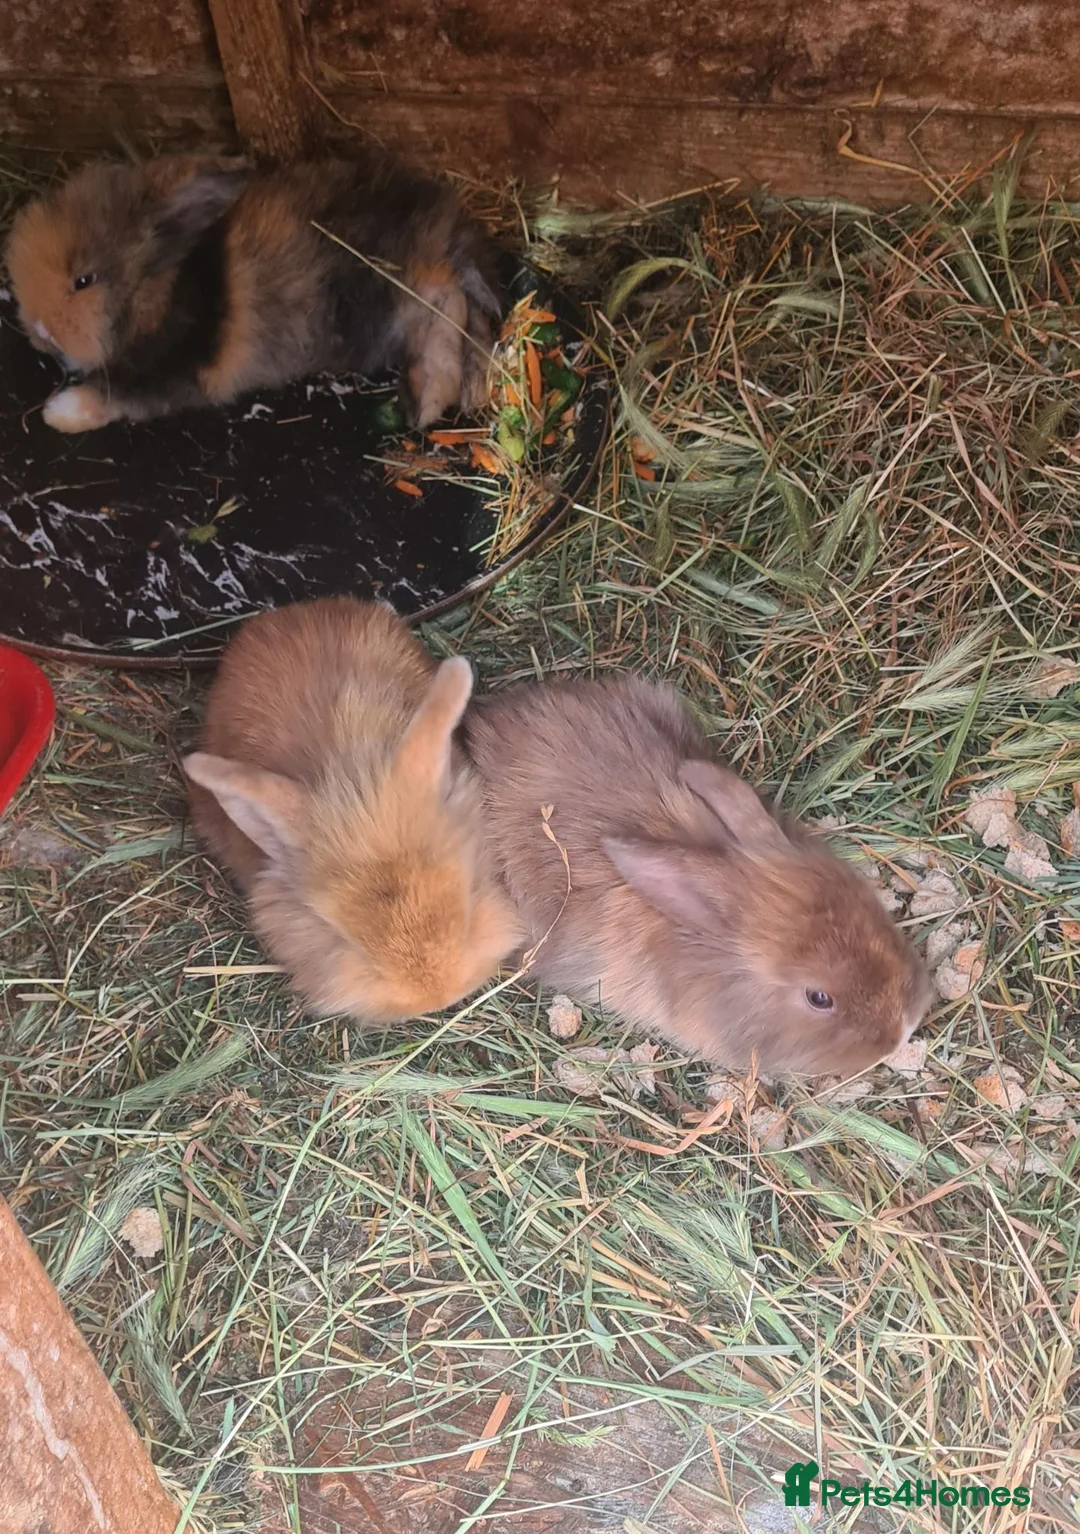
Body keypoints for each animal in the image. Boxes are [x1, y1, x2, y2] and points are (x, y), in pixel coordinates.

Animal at [4, 152, 501, 434]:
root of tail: (452, 226)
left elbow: (116, 396)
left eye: (83, 280)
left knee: (447, 301)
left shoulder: (180, 371)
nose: (39, 332)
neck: (161, 288)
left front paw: (58, 412)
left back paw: (423, 401)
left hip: (398, 285)